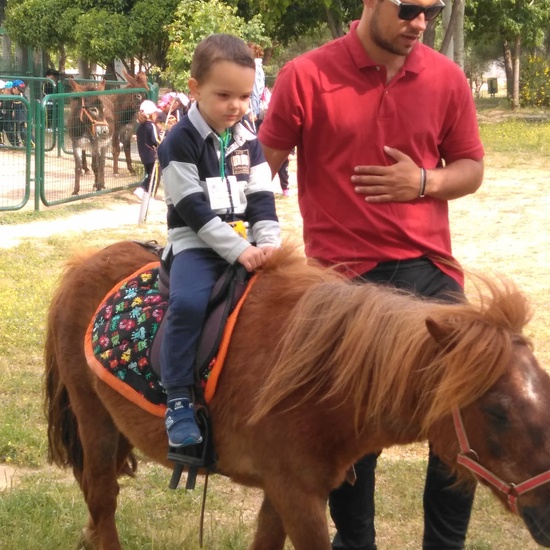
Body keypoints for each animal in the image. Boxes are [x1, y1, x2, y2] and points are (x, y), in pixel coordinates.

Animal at [44, 243, 550, 550]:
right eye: (497, 411)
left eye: (545, 391)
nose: (548, 512)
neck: (318, 381)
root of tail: (84, 262)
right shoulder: (299, 497)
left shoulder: (284, 491)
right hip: (95, 420)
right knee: (102, 497)